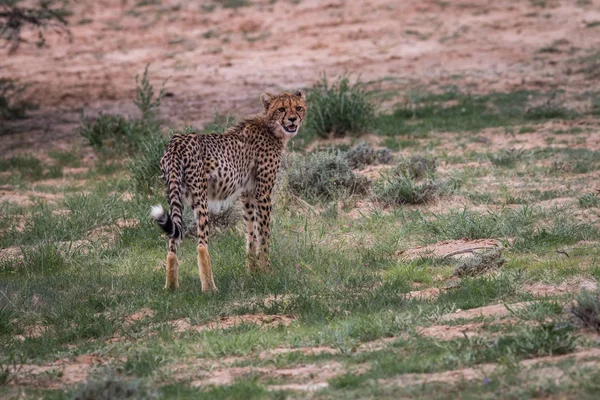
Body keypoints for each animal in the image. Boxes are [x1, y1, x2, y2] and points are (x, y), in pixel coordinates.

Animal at [150, 90, 310, 290]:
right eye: (281, 109)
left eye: (298, 107)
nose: (293, 119)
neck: (271, 128)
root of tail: (177, 141)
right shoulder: (263, 193)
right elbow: (264, 235)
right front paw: (267, 271)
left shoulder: (247, 195)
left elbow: (251, 234)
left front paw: (253, 272)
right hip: (200, 199)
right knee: (201, 245)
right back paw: (210, 288)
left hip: (175, 197)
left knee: (172, 241)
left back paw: (171, 287)